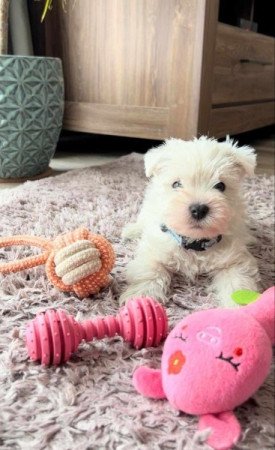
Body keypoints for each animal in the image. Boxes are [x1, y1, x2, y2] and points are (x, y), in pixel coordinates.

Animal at [121, 135, 260, 308]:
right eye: (176, 184)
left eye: (221, 186)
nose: (199, 209)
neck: (195, 242)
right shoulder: (155, 251)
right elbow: (149, 272)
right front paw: (141, 299)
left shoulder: (234, 261)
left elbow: (238, 285)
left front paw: (240, 309)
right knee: (143, 219)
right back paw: (131, 231)